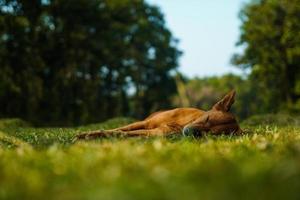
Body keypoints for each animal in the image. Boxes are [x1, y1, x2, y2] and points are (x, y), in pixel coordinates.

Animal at [77, 90, 241, 139]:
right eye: (206, 118)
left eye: (212, 134)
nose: (191, 132)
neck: (181, 124)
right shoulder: (144, 123)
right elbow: (117, 129)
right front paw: (88, 133)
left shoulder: (155, 133)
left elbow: (123, 133)